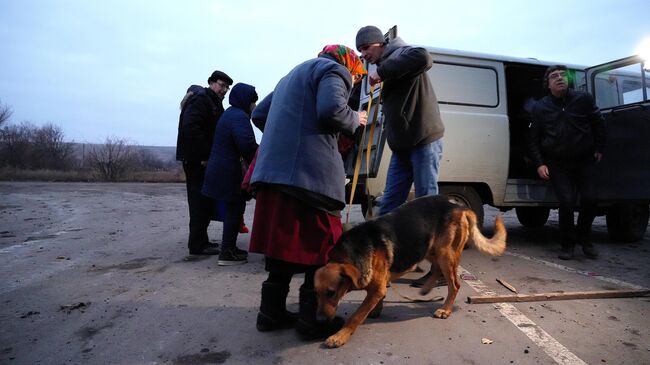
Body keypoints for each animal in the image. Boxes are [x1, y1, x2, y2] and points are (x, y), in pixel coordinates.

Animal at [312, 195, 504, 346]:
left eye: (332, 293)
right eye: (316, 293)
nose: (319, 320)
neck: (350, 253)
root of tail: (459, 207)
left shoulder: (376, 289)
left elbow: (356, 316)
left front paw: (339, 336)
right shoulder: (377, 288)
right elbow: (375, 300)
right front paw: (376, 310)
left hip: (445, 253)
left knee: (454, 284)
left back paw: (445, 309)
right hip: (428, 247)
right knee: (436, 268)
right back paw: (426, 288)